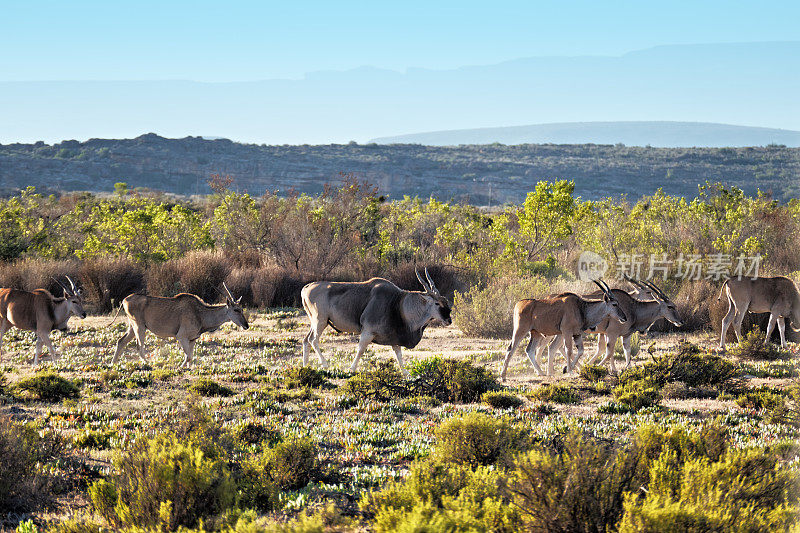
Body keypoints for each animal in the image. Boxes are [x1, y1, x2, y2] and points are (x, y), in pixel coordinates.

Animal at [109, 282, 247, 366]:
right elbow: (188, 357)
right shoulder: (181, 337)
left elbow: (191, 357)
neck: (200, 313)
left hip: (132, 327)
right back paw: (148, 364)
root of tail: (125, 299)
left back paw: (112, 363)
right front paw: (180, 367)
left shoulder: (192, 340)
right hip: (140, 327)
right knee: (139, 346)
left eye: (241, 309)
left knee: (121, 341)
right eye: (236, 310)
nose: (246, 325)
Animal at [298, 268, 450, 376]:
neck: (398, 303)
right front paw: (352, 369)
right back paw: (324, 364)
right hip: (320, 321)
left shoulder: (394, 338)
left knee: (306, 340)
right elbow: (360, 350)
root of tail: (306, 287)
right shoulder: (367, 332)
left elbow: (398, 354)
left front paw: (405, 372)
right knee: (313, 340)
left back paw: (306, 366)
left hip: (316, 322)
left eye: (446, 301)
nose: (449, 319)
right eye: (437, 303)